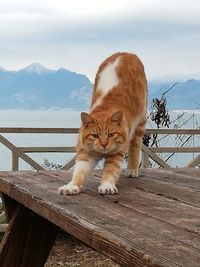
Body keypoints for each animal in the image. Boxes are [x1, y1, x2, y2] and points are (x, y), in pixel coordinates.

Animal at [58, 52, 148, 196]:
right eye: (95, 135)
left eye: (111, 134)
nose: (104, 144)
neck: (105, 109)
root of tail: (127, 53)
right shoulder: (85, 152)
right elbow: (79, 171)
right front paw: (72, 186)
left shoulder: (116, 153)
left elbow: (111, 171)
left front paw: (107, 185)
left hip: (140, 121)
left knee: (136, 144)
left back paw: (132, 169)